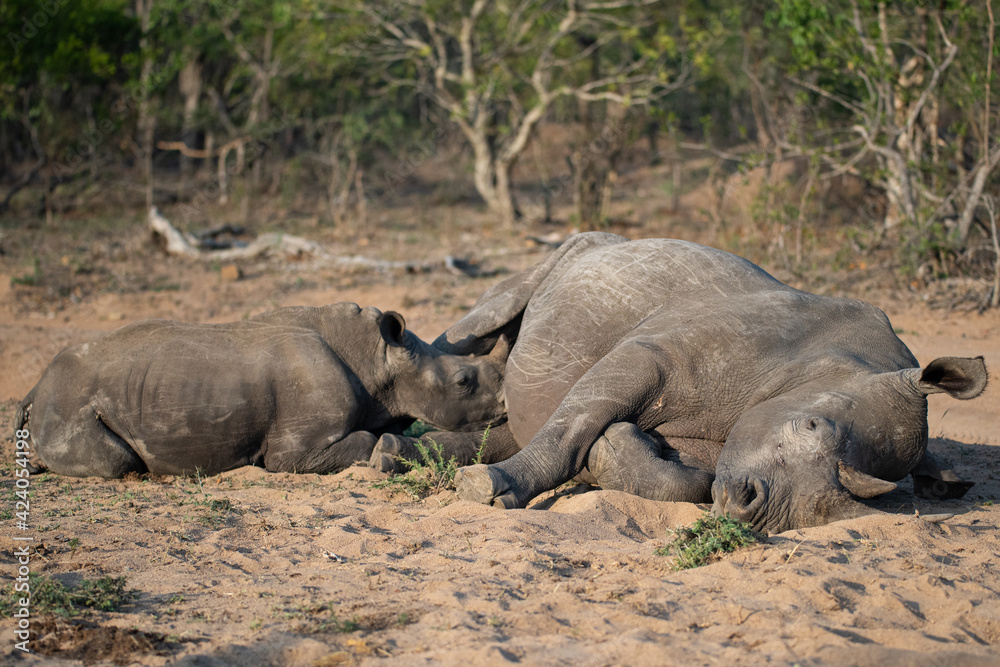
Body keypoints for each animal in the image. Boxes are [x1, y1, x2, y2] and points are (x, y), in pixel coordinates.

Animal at [17, 303, 509, 478]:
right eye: (463, 382)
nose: (506, 407)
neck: (378, 359)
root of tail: (37, 385)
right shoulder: (298, 450)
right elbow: (361, 442)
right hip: (68, 403)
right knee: (118, 463)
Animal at [378, 233, 987, 533]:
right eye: (811, 425)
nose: (752, 509)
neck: (845, 365)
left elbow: (685, 480)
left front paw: (618, 452)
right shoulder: (654, 353)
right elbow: (576, 424)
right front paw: (489, 490)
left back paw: (389, 454)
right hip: (567, 252)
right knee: (485, 322)